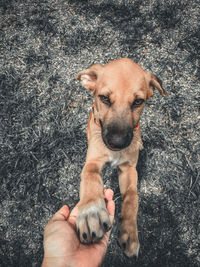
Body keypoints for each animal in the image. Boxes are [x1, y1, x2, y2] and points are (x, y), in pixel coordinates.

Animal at [76, 58, 166, 258]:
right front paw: (91, 211)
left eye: (138, 101)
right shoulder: (93, 161)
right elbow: (90, 177)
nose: (117, 143)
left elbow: (132, 197)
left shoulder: (128, 168)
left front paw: (129, 233)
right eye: (104, 98)